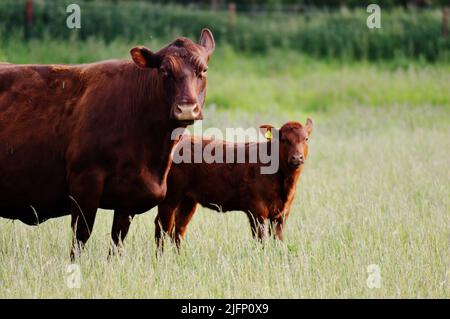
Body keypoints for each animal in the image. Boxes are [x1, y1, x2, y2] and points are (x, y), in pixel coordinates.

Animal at [0, 28, 214, 260]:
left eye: (203, 70)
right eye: (165, 71)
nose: (187, 109)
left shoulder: (129, 196)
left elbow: (117, 240)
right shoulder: (85, 181)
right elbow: (81, 236)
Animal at [113, 119, 312, 250]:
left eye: (306, 139)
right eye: (284, 139)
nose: (297, 158)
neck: (284, 184)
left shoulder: (282, 214)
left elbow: (278, 240)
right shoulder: (257, 211)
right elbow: (261, 239)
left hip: (188, 200)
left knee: (179, 227)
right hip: (170, 197)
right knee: (163, 226)